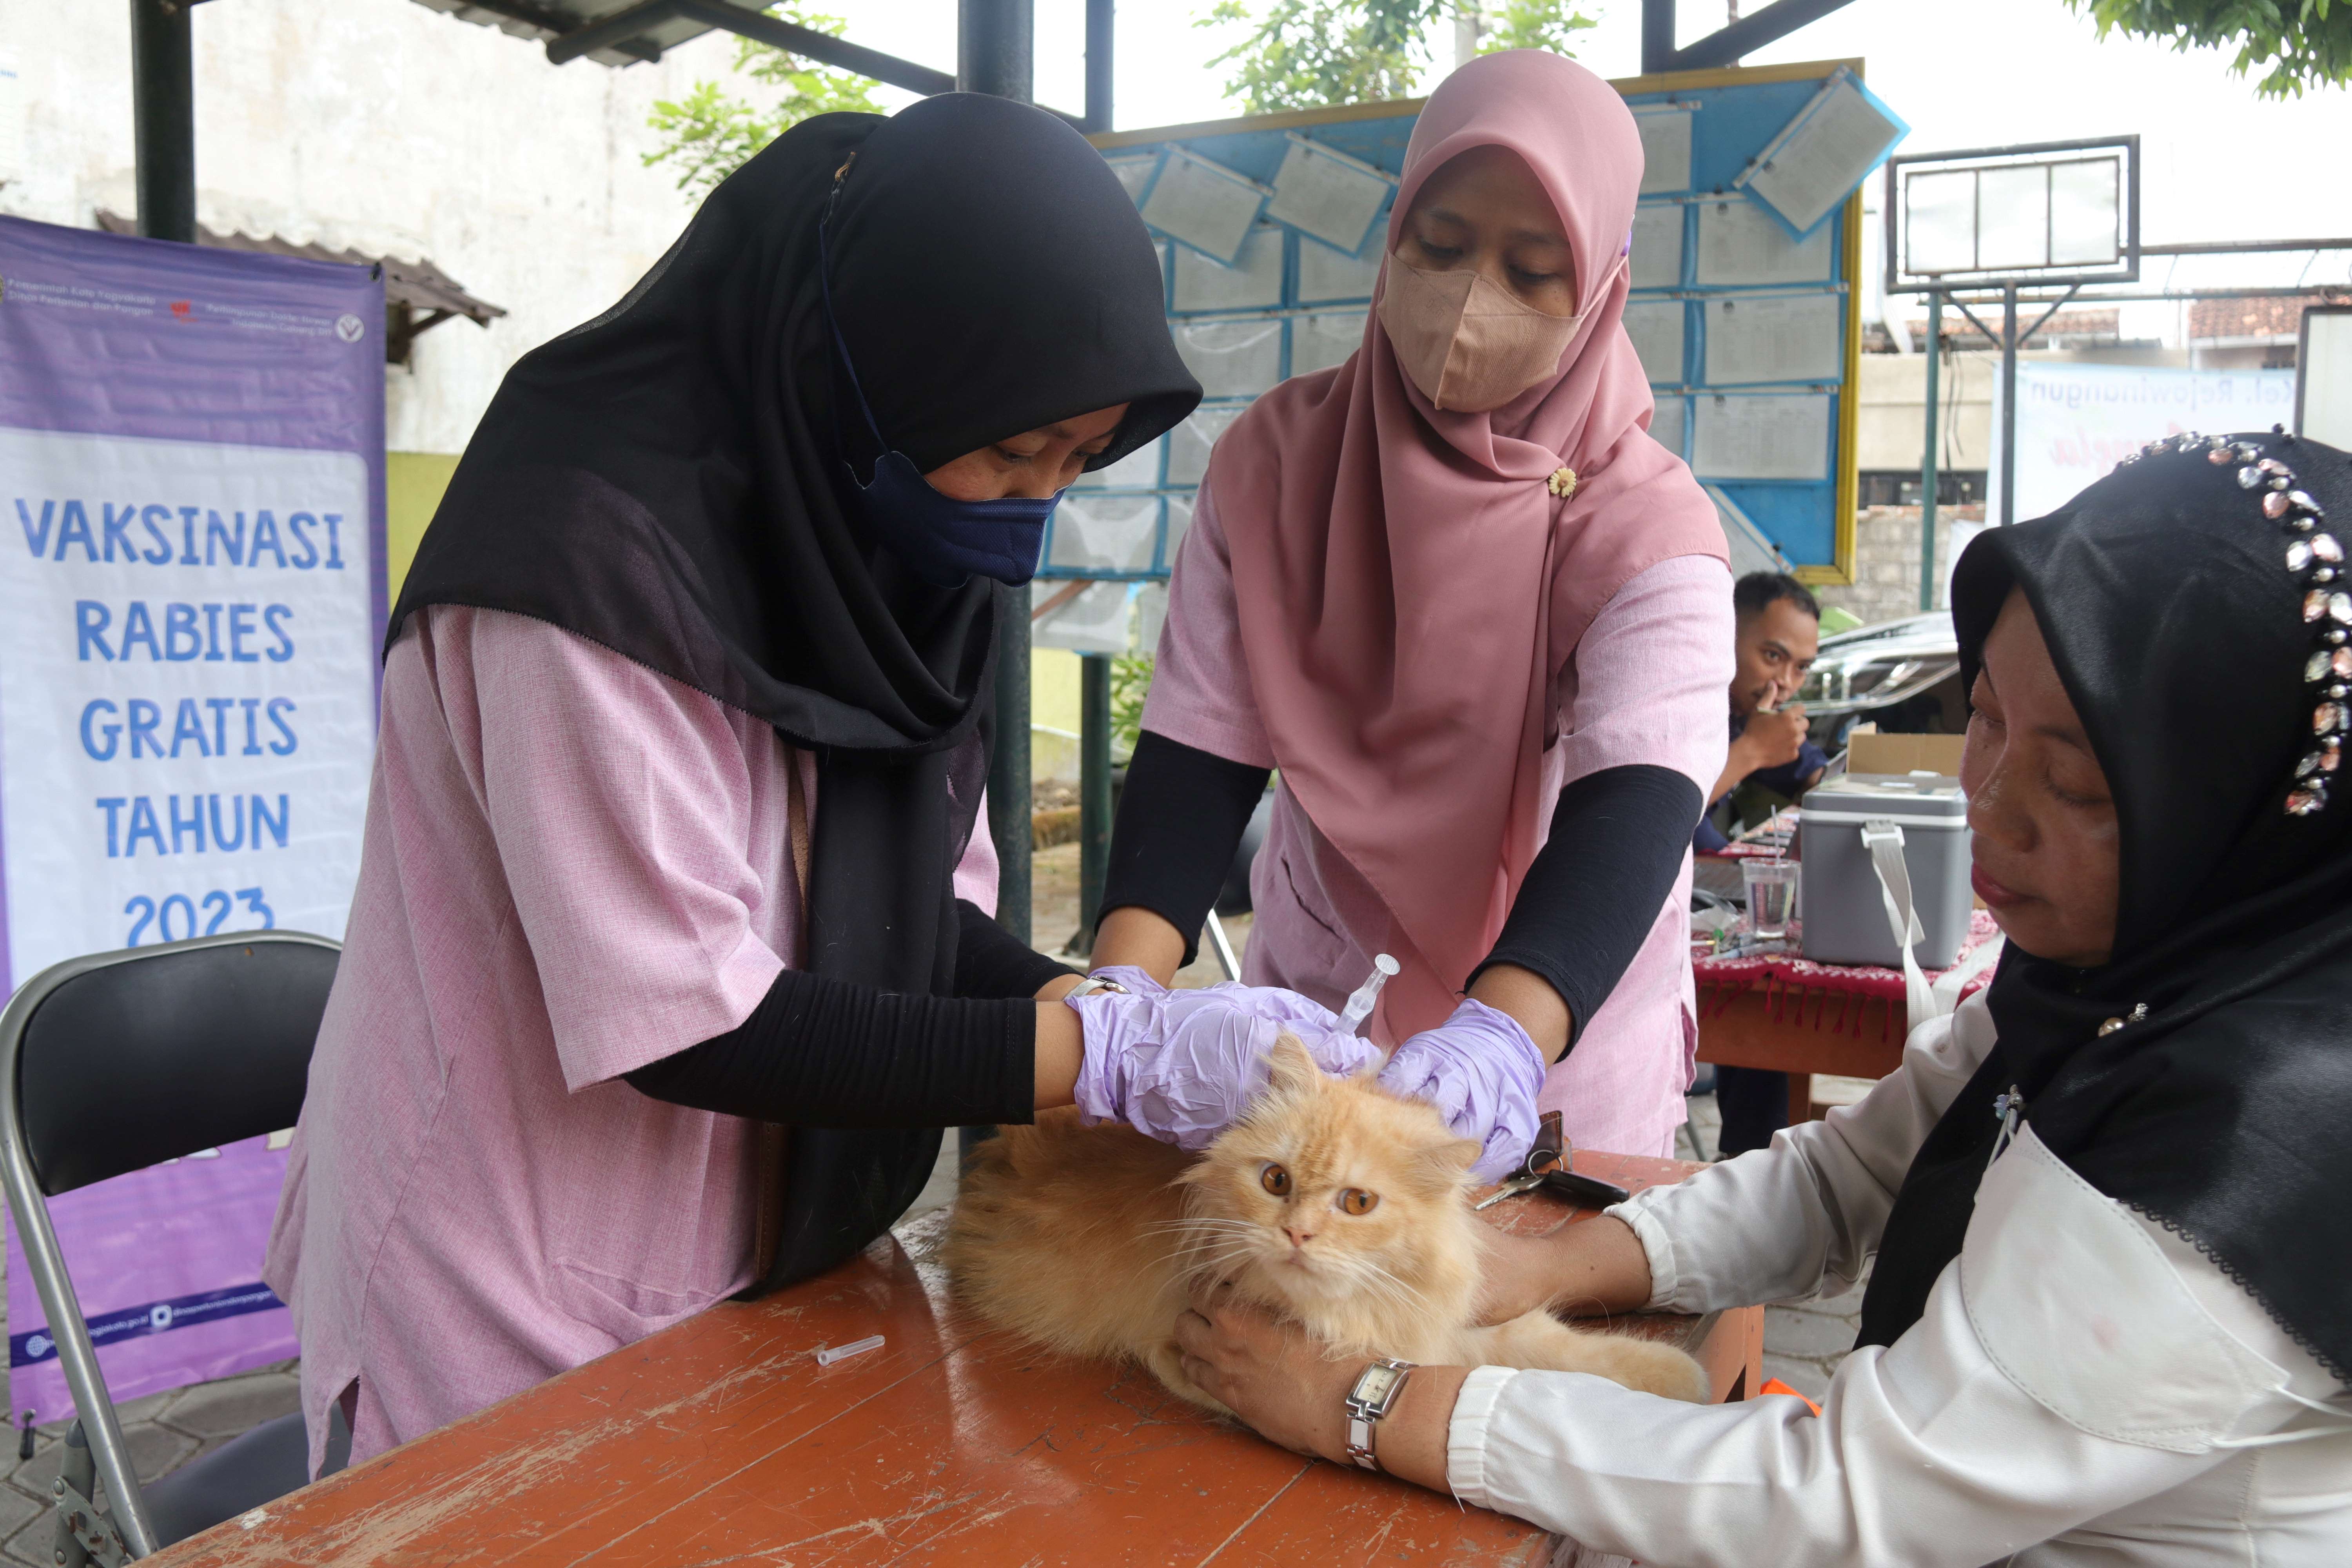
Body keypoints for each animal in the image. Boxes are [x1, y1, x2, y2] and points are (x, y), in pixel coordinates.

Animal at [941, 1034, 1712, 1420]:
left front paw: (1681, 1378)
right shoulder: (1175, 1348)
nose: (1299, 1234)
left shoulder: (1446, 1320)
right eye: (1276, 1182)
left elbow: (1559, 1348)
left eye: (1358, 1204)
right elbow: (1481, 1371)